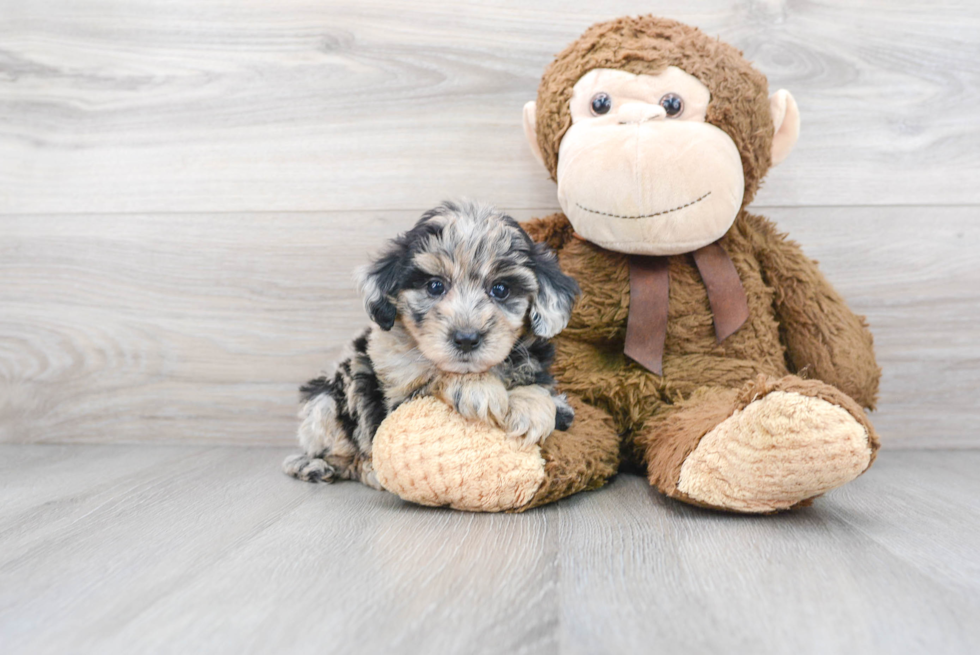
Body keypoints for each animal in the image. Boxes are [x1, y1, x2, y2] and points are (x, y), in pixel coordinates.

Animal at [280, 202, 580, 490]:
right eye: (435, 286)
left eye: (501, 289)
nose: (466, 338)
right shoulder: (397, 400)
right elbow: (434, 374)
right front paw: (478, 389)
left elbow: (544, 392)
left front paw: (531, 408)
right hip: (324, 402)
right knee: (338, 454)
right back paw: (322, 466)